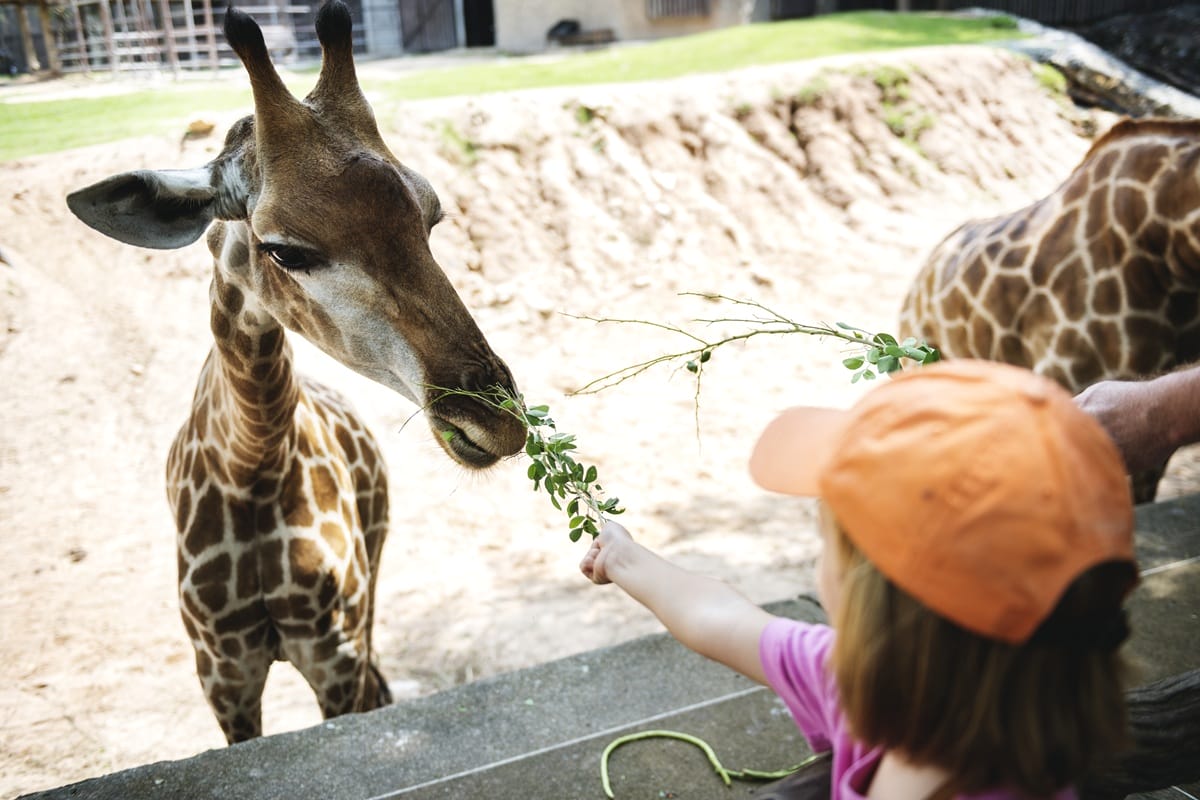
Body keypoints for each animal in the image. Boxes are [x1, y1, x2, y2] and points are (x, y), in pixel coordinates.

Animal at [65, 1, 526, 743]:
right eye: (284, 249)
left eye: (431, 218)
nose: (495, 421)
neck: (251, 464)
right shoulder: (222, 673)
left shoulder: (333, 651)